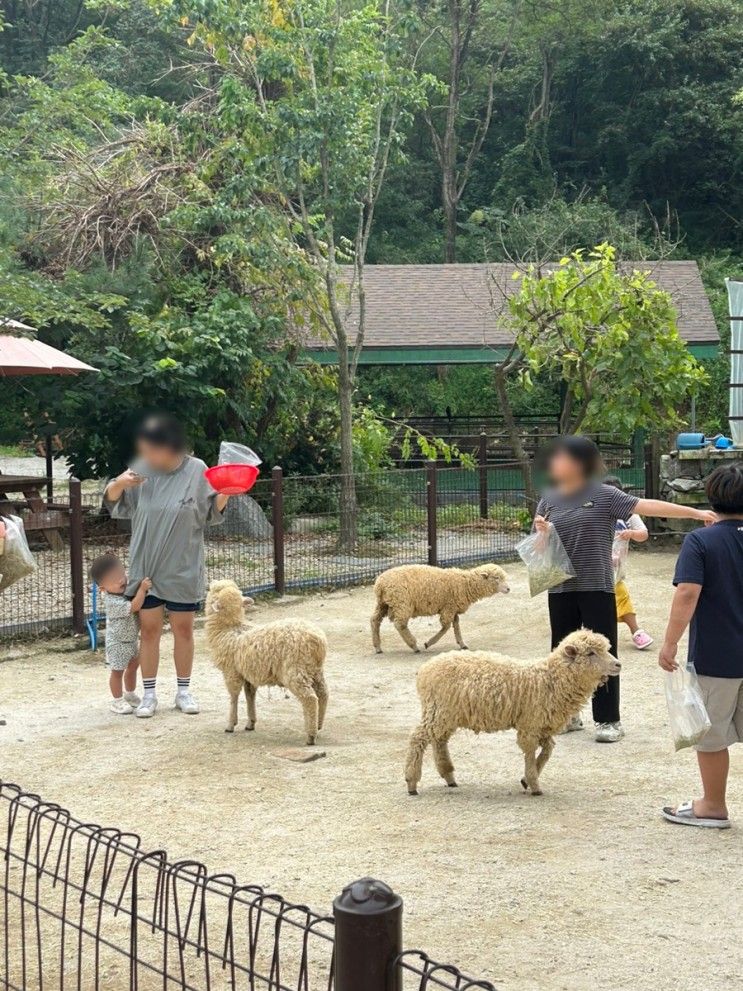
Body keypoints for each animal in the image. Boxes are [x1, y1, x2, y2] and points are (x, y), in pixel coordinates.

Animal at [205, 580, 330, 744]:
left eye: (215, 590)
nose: (211, 584)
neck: (229, 629)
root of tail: (318, 640)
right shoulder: (247, 674)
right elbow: (249, 695)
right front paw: (250, 723)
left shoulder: (232, 672)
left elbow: (234, 696)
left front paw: (230, 725)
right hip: (315, 670)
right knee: (323, 694)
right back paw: (319, 725)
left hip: (295, 670)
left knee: (310, 699)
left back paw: (310, 735)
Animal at [372, 560, 512, 656]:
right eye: (496, 578)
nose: (508, 589)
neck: (465, 584)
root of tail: (380, 584)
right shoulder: (448, 607)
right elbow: (446, 627)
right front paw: (428, 643)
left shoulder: (453, 608)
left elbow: (456, 625)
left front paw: (462, 644)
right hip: (401, 603)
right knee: (400, 625)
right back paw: (414, 646)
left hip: (383, 604)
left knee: (375, 621)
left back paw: (377, 647)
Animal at [404, 636, 620, 800]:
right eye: (590, 653)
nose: (618, 664)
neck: (550, 679)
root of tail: (424, 670)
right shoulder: (530, 725)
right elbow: (531, 752)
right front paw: (534, 784)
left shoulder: (541, 725)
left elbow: (547, 751)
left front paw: (527, 779)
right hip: (438, 710)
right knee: (418, 739)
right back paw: (412, 782)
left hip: (446, 714)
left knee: (439, 740)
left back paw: (448, 776)